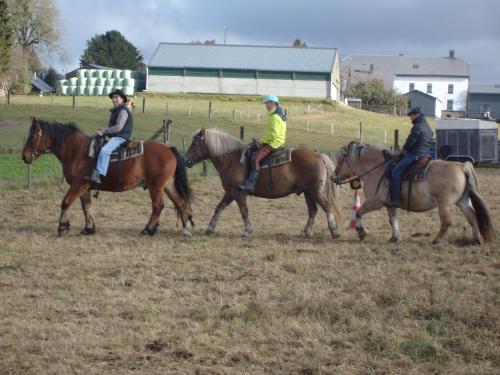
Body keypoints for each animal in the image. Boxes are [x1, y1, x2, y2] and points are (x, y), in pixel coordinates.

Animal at [20, 117, 191, 236]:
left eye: (33, 136)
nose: (24, 156)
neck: (76, 151)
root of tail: (169, 150)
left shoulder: (78, 185)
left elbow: (66, 202)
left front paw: (63, 227)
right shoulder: (85, 188)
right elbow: (86, 207)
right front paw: (89, 229)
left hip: (156, 187)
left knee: (158, 206)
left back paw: (148, 230)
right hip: (167, 185)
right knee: (181, 203)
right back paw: (185, 228)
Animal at [184, 129, 344, 239]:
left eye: (195, 143)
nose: (186, 160)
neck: (231, 160)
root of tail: (319, 156)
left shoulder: (238, 193)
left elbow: (244, 211)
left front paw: (247, 230)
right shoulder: (230, 192)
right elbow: (219, 208)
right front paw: (209, 228)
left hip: (316, 192)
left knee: (326, 207)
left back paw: (334, 231)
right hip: (308, 192)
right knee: (313, 211)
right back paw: (306, 232)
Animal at [332, 142, 492, 245]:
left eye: (340, 159)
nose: (333, 177)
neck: (377, 169)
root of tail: (461, 166)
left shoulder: (375, 202)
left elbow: (358, 212)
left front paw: (361, 232)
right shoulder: (390, 205)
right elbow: (393, 220)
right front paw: (394, 237)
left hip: (444, 204)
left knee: (447, 221)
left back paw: (437, 240)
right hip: (463, 202)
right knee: (472, 217)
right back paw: (477, 240)